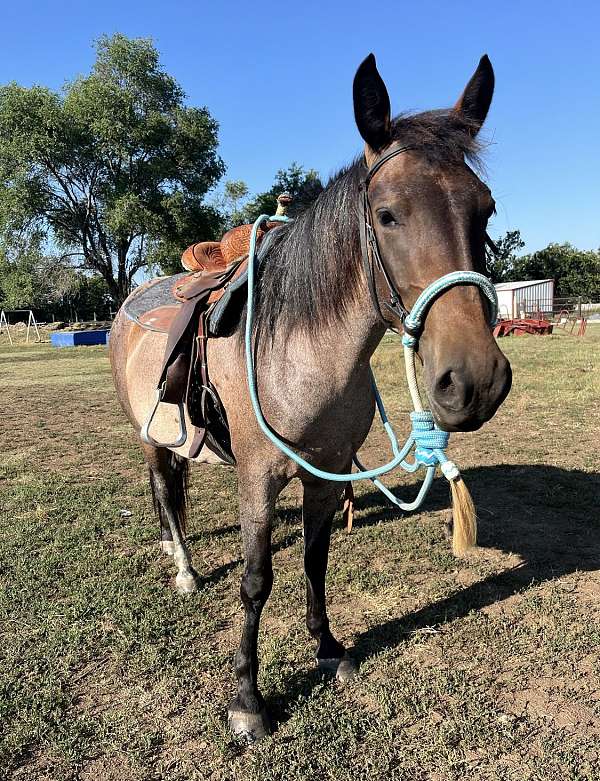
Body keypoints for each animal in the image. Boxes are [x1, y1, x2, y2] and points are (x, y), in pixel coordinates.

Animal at [109, 53, 510, 736]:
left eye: (483, 210)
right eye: (387, 214)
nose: (474, 379)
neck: (301, 355)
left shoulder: (326, 474)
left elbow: (315, 561)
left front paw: (327, 648)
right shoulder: (259, 478)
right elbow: (256, 579)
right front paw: (248, 699)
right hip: (150, 437)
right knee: (163, 487)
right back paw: (184, 567)